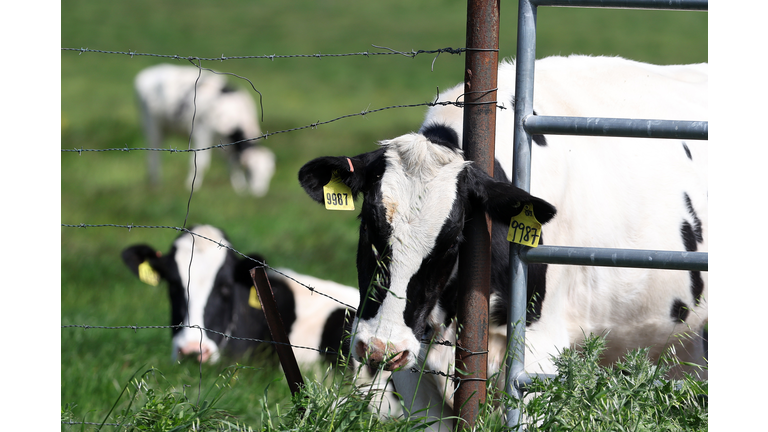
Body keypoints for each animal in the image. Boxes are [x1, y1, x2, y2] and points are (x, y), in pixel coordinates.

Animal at [135, 63, 276, 197]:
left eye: (269, 173)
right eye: (250, 171)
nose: (259, 193)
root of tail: (148, 73)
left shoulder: (226, 144)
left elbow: (232, 163)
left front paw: (239, 189)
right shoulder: (202, 132)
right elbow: (201, 163)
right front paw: (192, 187)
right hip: (151, 124)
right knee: (153, 155)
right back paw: (155, 183)